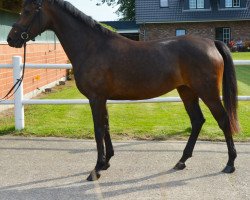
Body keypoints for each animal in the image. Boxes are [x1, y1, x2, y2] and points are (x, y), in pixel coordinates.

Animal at [6, 0, 239, 181]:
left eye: (28, 11)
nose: (11, 38)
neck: (92, 46)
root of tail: (212, 42)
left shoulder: (96, 98)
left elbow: (98, 129)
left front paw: (96, 170)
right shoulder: (102, 99)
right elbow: (106, 126)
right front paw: (106, 162)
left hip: (207, 92)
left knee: (223, 120)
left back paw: (230, 164)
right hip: (187, 91)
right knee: (197, 120)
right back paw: (181, 161)